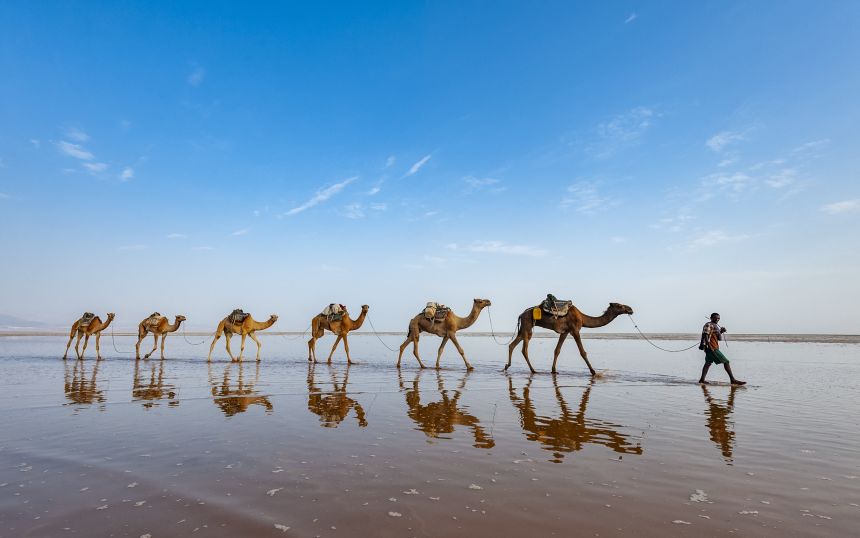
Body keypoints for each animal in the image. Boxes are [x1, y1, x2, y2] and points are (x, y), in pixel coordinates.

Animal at [505, 301, 633, 375]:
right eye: (620, 306)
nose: (630, 309)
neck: (582, 318)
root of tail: (521, 314)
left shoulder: (565, 332)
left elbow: (557, 350)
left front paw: (554, 370)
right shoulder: (575, 330)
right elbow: (582, 352)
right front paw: (593, 372)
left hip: (524, 328)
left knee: (512, 345)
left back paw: (507, 366)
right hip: (527, 325)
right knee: (524, 349)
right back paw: (533, 370)